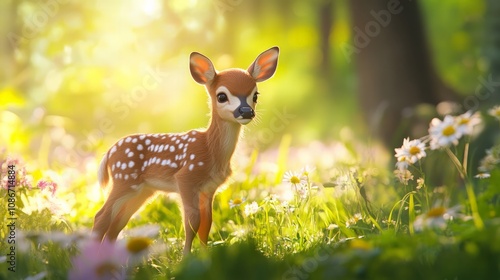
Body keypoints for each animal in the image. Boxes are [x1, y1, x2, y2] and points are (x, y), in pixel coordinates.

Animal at [92, 46, 280, 254]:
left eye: (255, 95)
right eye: (221, 96)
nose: (246, 112)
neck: (210, 149)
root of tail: (109, 152)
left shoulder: (208, 188)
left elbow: (207, 223)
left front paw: (206, 256)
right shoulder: (186, 179)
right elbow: (192, 222)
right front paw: (186, 258)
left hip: (142, 190)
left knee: (117, 223)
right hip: (124, 180)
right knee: (101, 217)